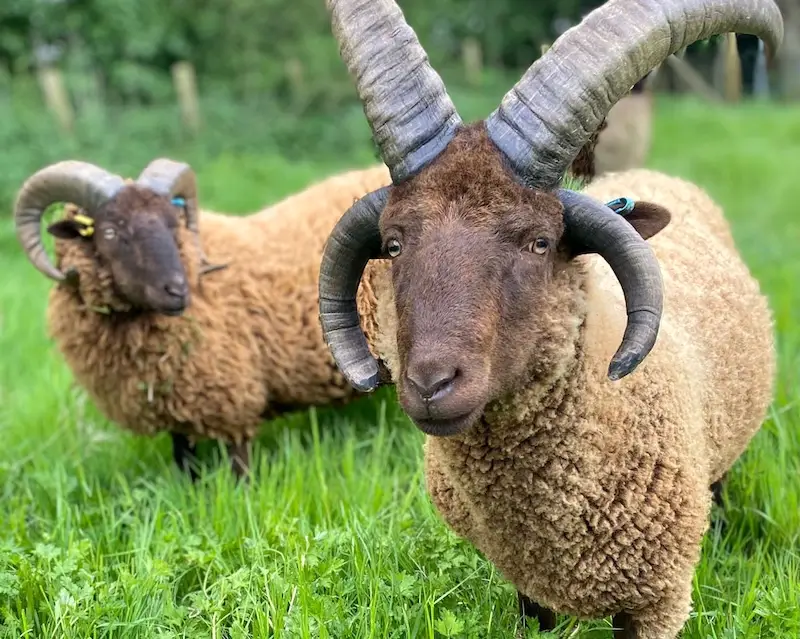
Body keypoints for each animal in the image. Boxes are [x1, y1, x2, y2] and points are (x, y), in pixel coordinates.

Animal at [13, 157, 391, 479]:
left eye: (172, 225)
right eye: (110, 232)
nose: (177, 290)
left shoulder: (232, 396)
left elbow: (240, 470)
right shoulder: (176, 405)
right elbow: (185, 464)